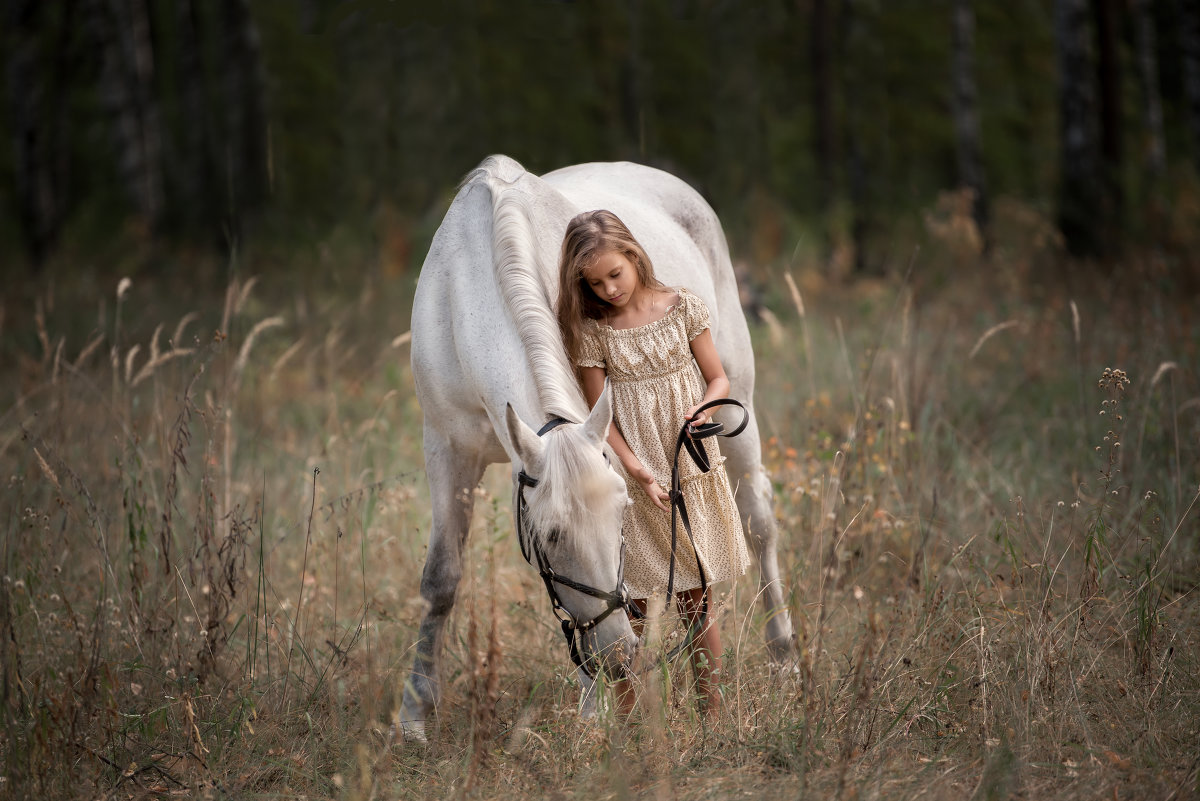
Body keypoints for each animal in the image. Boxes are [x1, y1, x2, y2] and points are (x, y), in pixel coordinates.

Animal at [403, 153, 792, 743]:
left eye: (621, 516)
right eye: (550, 535)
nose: (616, 656)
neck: (468, 292)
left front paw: (593, 708)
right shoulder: (447, 448)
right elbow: (440, 580)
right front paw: (414, 716)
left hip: (731, 406)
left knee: (758, 520)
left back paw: (784, 653)